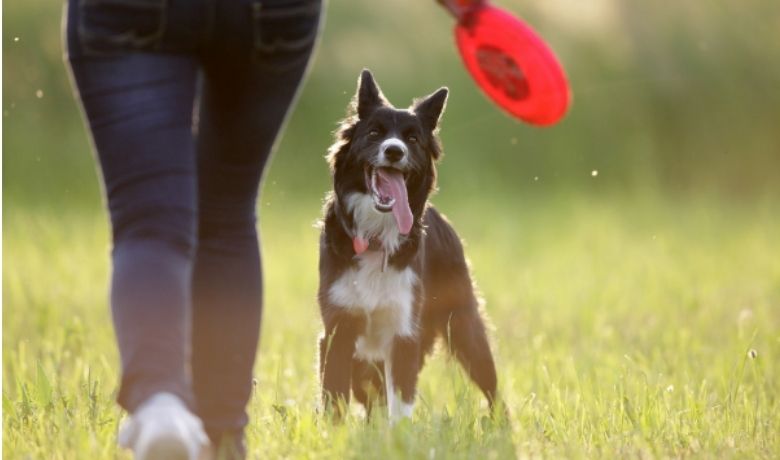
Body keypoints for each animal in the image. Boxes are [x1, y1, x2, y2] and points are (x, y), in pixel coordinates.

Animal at [318, 70, 496, 422]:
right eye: (374, 132)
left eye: (412, 139)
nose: (394, 151)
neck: (375, 237)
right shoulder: (337, 329)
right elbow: (335, 400)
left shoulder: (404, 332)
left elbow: (399, 407)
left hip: (465, 326)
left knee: (492, 388)